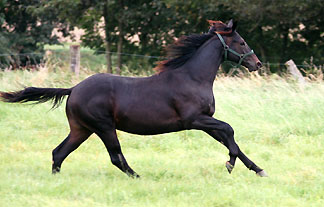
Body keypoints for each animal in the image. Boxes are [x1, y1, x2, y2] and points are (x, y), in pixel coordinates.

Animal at [0, 20, 268, 177]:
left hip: (81, 129)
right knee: (115, 156)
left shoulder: (205, 121)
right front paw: (230, 164)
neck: (192, 78)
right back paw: (137, 177)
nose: (257, 64)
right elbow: (229, 131)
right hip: (104, 127)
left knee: (59, 152)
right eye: (242, 42)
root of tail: (74, 88)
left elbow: (230, 140)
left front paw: (258, 169)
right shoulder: (194, 120)